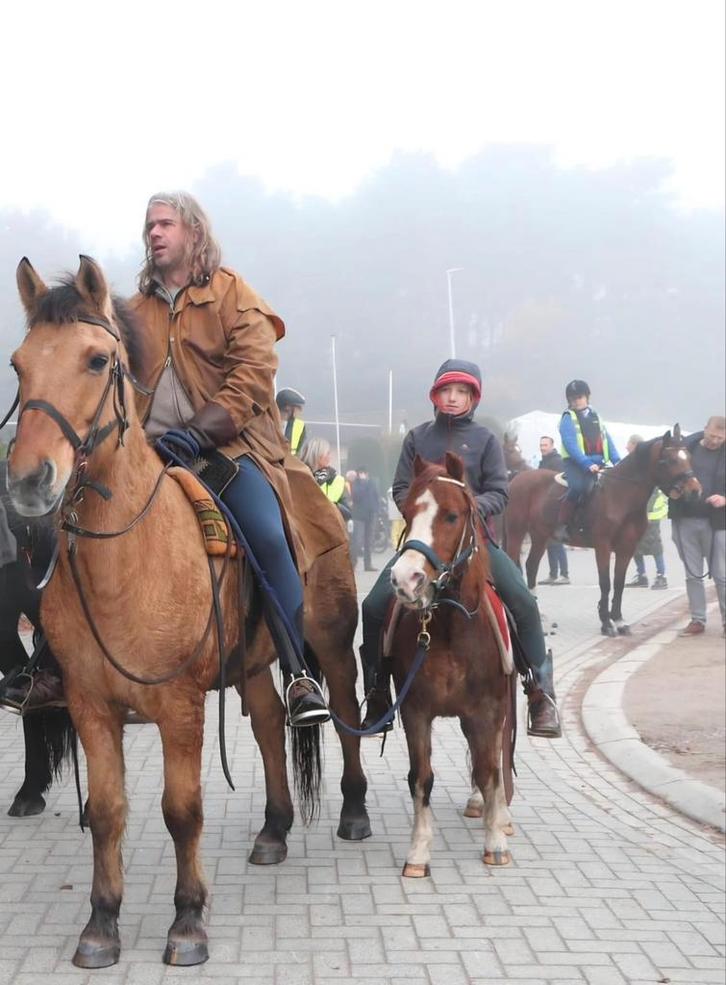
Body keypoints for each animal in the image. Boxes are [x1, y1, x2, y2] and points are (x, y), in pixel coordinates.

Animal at [6, 256, 370, 968]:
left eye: (96, 360)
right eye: (18, 364)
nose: (30, 482)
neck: (127, 557)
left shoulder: (178, 706)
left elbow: (182, 810)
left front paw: (188, 920)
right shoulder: (90, 705)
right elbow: (108, 811)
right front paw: (101, 923)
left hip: (333, 643)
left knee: (343, 714)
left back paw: (354, 813)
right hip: (251, 663)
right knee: (267, 723)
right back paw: (275, 829)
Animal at [387, 452, 513, 877]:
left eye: (452, 516)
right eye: (407, 512)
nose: (406, 579)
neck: (448, 629)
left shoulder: (487, 710)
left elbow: (489, 771)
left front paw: (495, 843)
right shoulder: (415, 711)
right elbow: (421, 777)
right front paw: (418, 852)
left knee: (495, 762)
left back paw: (499, 815)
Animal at [504, 427, 701, 636]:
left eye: (688, 457)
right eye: (670, 460)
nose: (695, 490)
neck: (619, 495)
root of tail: (517, 479)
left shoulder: (626, 548)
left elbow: (619, 583)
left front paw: (619, 620)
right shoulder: (603, 546)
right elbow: (605, 582)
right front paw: (606, 623)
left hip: (540, 536)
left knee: (531, 566)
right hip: (516, 533)